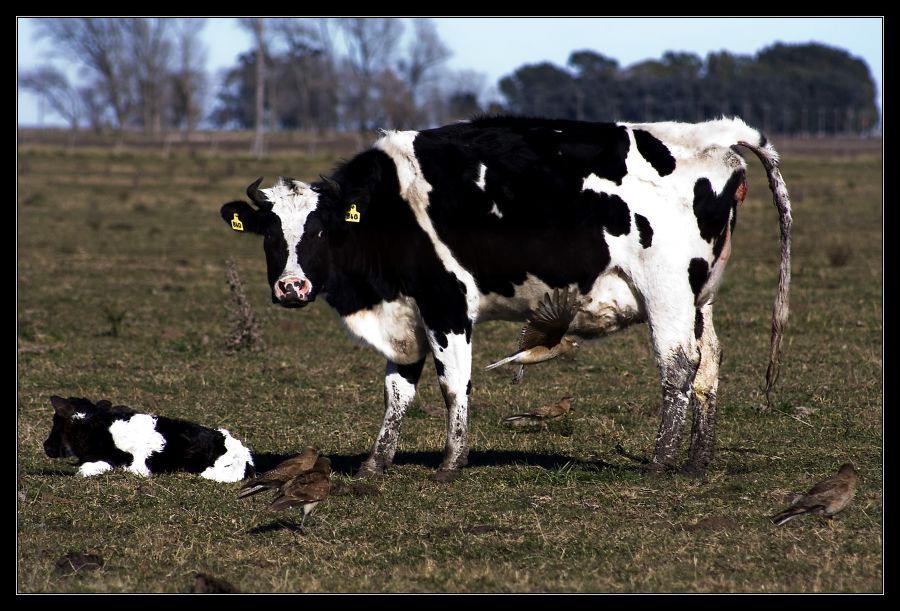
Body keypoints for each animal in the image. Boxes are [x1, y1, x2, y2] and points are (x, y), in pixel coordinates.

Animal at [221, 117, 792, 482]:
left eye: (318, 231)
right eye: (270, 235)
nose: (291, 287)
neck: (389, 213)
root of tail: (709, 135)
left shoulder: (447, 304)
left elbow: (453, 384)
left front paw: (451, 463)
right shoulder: (406, 317)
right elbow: (397, 392)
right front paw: (375, 463)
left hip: (667, 292)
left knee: (678, 366)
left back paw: (660, 462)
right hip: (700, 299)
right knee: (709, 366)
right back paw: (697, 460)